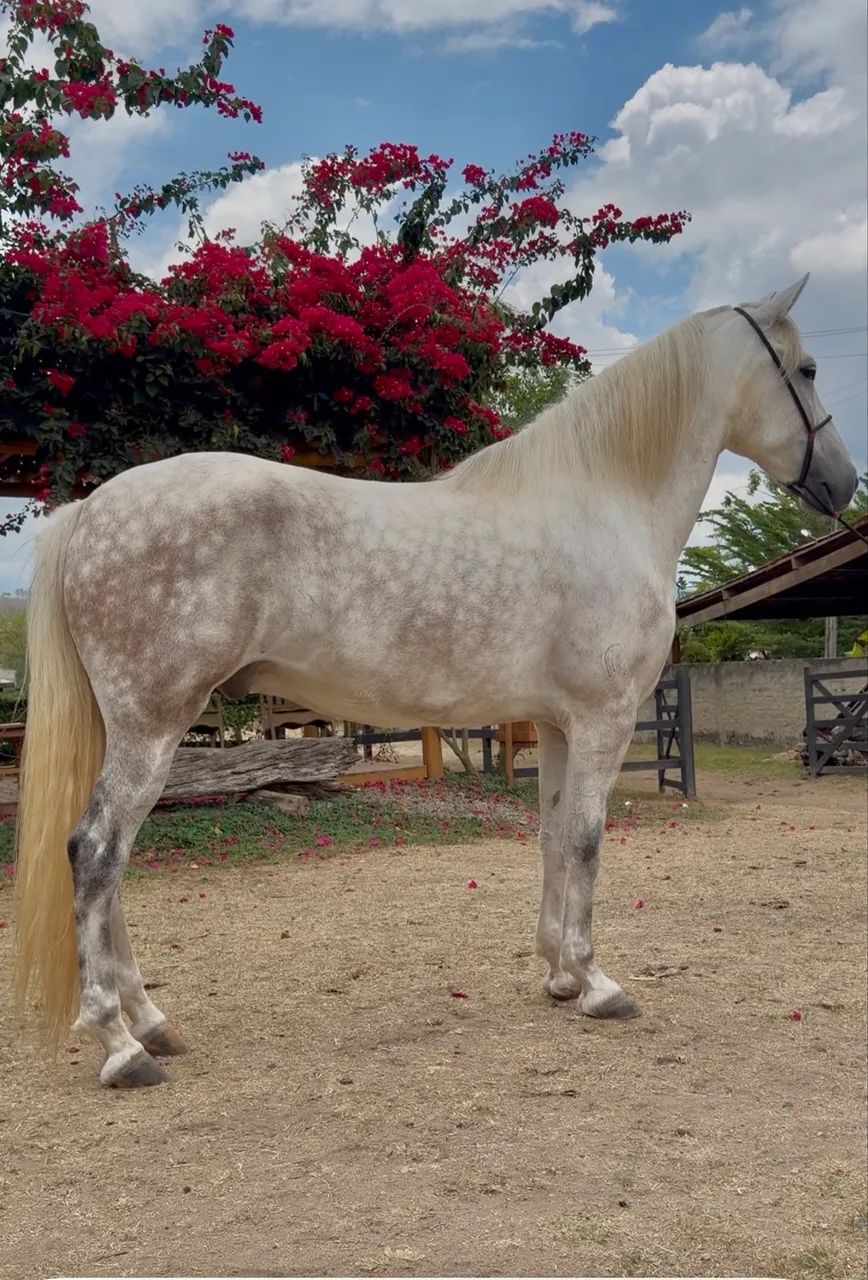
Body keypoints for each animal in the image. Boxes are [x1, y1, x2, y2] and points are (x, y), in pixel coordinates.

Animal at [12, 273, 858, 1089]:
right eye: (809, 371)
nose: (845, 482)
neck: (606, 504)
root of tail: (92, 509)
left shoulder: (556, 725)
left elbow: (553, 836)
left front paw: (558, 976)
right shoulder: (605, 719)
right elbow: (586, 841)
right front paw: (596, 984)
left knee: (110, 864)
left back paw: (152, 1021)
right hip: (154, 726)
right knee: (97, 853)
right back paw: (121, 1045)